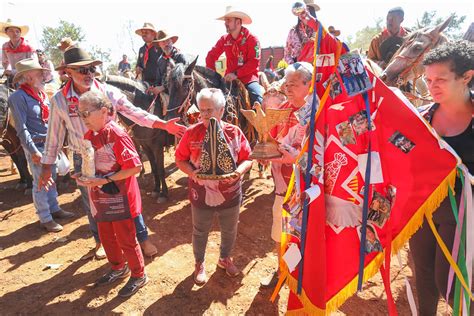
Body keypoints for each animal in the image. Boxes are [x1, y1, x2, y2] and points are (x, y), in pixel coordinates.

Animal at [104, 74, 171, 202]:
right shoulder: (145, 146)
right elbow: (154, 167)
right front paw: (156, 189)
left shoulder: (157, 147)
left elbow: (160, 169)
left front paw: (164, 193)